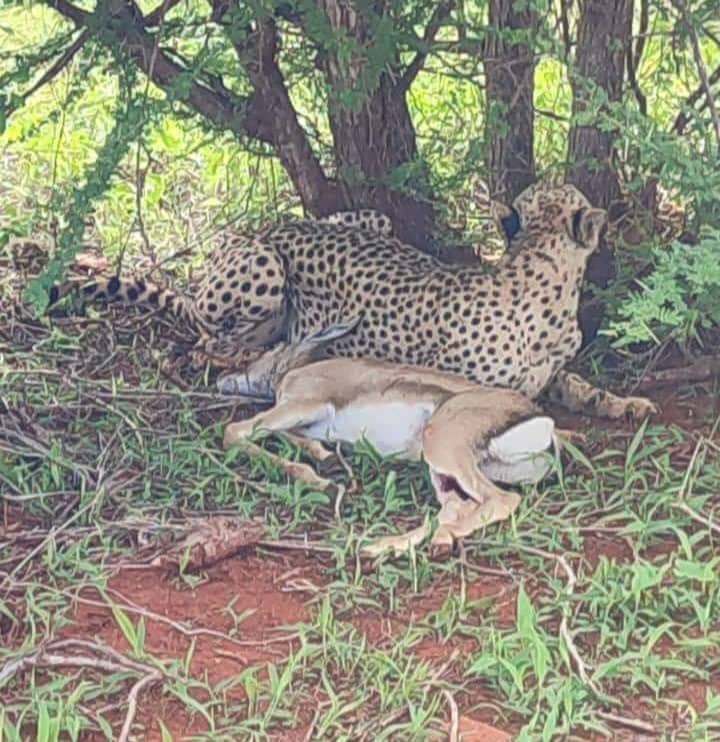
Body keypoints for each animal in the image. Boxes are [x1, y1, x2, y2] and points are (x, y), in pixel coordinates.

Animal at [48, 183, 657, 419]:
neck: (538, 274)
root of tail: (259, 226)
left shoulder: (550, 370)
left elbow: (577, 384)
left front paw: (625, 404)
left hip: (374, 220)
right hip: (262, 270)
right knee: (209, 346)